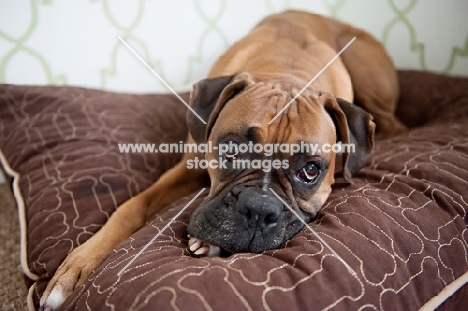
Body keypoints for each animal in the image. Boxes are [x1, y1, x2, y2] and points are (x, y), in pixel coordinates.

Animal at [40, 11, 406, 310]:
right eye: (230, 152)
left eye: (310, 171)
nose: (258, 209)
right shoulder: (186, 168)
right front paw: (78, 266)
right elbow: (133, 207)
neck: (286, 71)